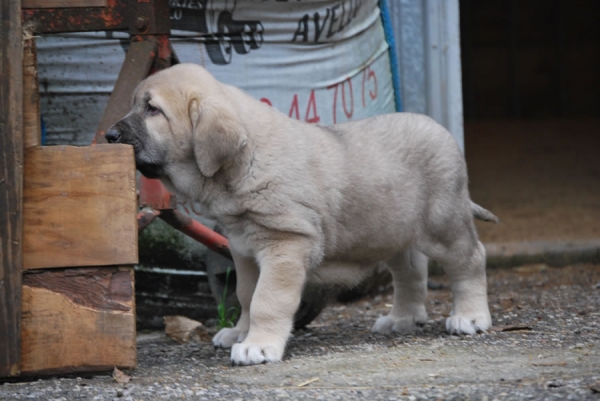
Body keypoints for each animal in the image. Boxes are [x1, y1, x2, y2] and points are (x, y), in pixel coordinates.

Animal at [106, 62, 496, 366]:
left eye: (152, 109)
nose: (109, 134)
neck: (244, 161)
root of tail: (442, 130)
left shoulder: (285, 245)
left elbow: (266, 300)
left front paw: (258, 346)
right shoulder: (243, 250)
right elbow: (246, 296)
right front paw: (240, 333)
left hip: (444, 223)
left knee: (470, 259)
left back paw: (470, 317)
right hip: (393, 232)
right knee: (411, 271)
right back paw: (403, 319)